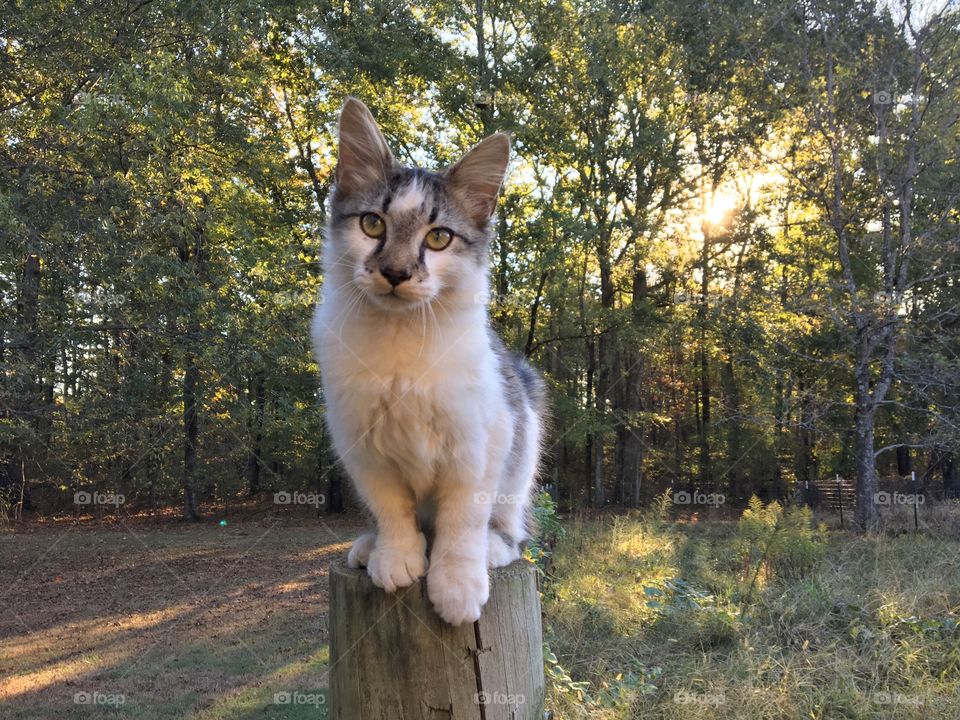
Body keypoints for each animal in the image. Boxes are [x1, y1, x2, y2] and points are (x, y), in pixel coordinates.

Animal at [312, 95, 544, 624]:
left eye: (439, 238)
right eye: (372, 224)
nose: (396, 273)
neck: (401, 340)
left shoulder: (479, 445)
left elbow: (462, 523)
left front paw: (456, 583)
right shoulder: (361, 446)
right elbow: (392, 510)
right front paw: (397, 556)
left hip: (523, 454)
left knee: (510, 531)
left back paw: (492, 550)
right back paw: (371, 547)